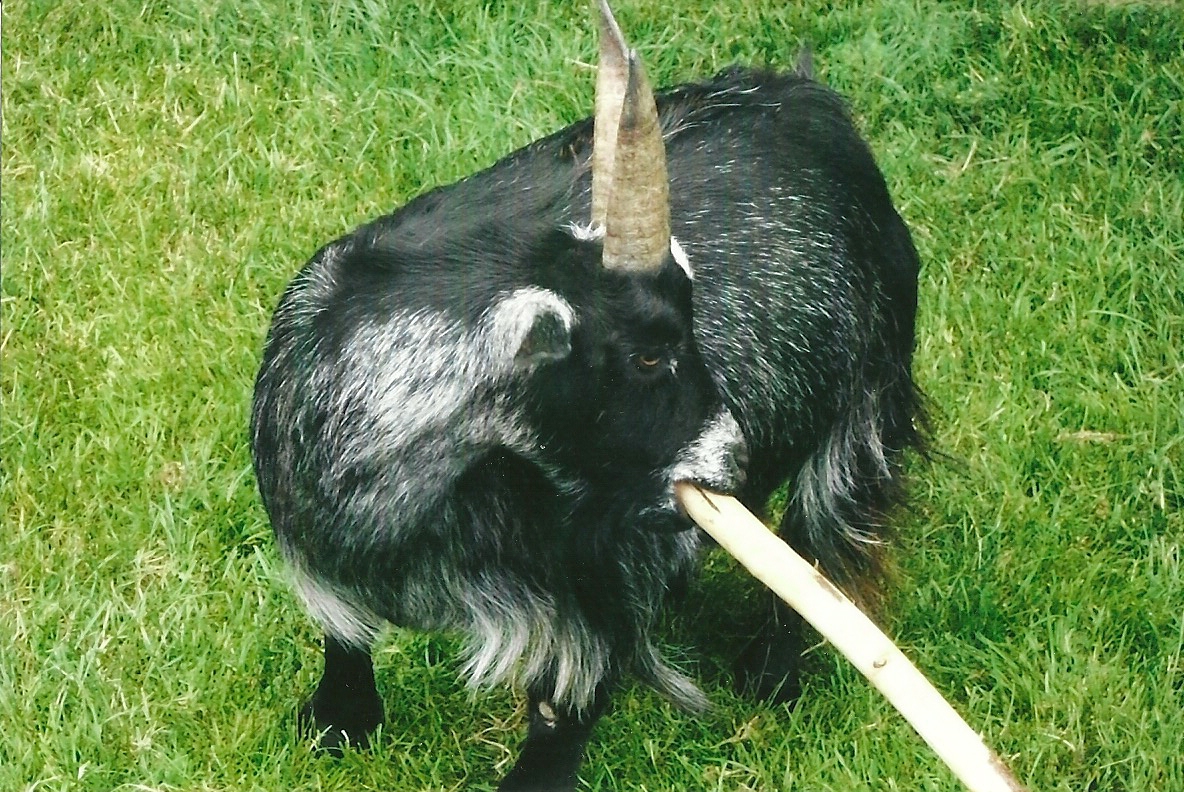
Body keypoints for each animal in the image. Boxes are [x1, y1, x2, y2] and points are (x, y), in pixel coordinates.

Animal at [250, 2, 926, 788]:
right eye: (648, 353)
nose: (734, 460)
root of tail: (810, 100)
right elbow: (342, 635)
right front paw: (338, 724)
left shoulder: (604, 590)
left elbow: (564, 706)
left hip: (867, 401)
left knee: (822, 542)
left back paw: (770, 676)